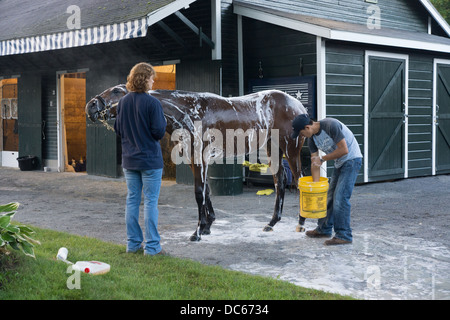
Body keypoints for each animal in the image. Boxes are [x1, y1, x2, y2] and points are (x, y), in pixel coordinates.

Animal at [85, 85, 308, 240]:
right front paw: (207, 226)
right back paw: (272, 223)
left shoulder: (200, 158)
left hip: (291, 149)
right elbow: (206, 191)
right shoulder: (195, 160)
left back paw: (302, 223)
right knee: (280, 182)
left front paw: (197, 232)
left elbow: (199, 192)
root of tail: (298, 105)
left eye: (116, 90)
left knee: (299, 181)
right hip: (273, 149)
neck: (188, 112)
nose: (91, 105)